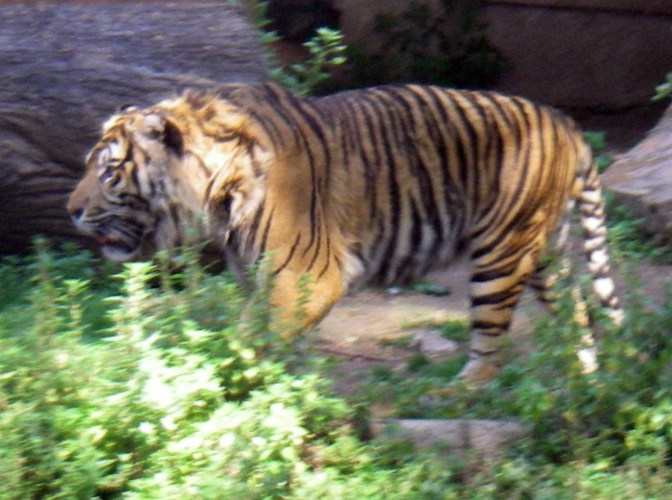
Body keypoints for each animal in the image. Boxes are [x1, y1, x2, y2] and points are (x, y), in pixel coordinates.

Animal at [67, 82, 622, 383]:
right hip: (543, 253)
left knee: (490, 341)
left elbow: (244, 340)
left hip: (501, 254)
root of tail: (563, 121)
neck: (217, 190)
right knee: (578, 312)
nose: (71, 211)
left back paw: (458, 389)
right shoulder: (260, 279)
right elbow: (266, 339)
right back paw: (586, 377)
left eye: (109, 172)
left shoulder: (306, 275)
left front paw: (220, 383)